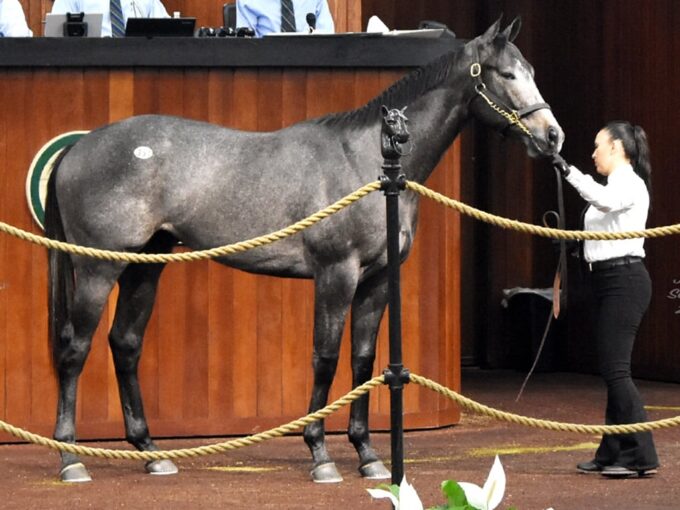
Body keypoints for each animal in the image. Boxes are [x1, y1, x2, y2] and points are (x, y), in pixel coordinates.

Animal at [43, 16, 564, 482]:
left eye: (533, 71)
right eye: (506, 74)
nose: (552, 136)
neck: (367, 164)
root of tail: (77, 149)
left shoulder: (376, 281)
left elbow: (362, 360)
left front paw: (368, 455)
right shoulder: (337, 273)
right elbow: (325, 357)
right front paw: (320, 454)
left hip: (144, 266)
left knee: (125, 344)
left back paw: (150, 452)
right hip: (97, 269)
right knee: (75, 348)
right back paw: (70, 458)